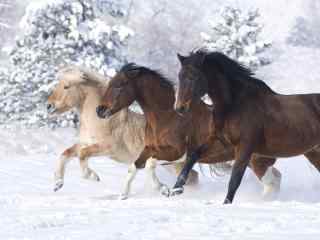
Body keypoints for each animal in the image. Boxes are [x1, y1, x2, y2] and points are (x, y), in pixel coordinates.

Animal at [47, 65, 199, 199]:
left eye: (66, 86)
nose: (49, 106)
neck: (101, 121)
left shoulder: (107, 148)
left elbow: (82, 155)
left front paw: (93, 176)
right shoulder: (84, 143)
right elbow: (66, 154)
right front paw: (57, 184)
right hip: (172, 163)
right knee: (192, 176)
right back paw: (164, 190)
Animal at [94, 63, 282, 197]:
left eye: (120, 85)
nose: (100, 110)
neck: (167, 116)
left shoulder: (177, 153)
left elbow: (149, 164)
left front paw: (165, 189)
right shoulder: (149, 148)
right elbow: (134, 167)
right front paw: (124, 195)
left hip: (256, 161)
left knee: (272, 182)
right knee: (275, 179)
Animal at [175, 49, 320, 203]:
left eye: (193, 76)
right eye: (180, 76)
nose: (180, 108)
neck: (233, 105)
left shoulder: (245, 147)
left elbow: (235, 179)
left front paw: (226, 203)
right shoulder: (220, 141)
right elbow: (192, 156)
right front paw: (176, 189)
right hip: (314, 153)